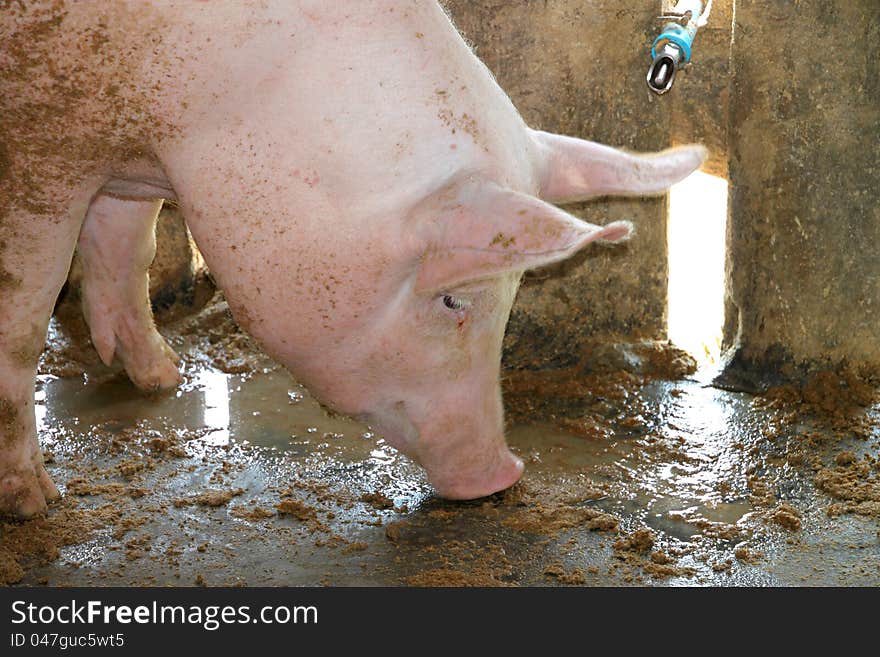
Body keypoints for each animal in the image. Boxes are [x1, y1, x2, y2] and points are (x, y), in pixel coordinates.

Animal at [0, 1, 704, 516]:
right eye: (454, 297)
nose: (502, 473)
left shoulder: (130, 150)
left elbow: (129, 242)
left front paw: (161, 379)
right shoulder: (45, 147)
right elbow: (23, 311)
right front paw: (35, 504)